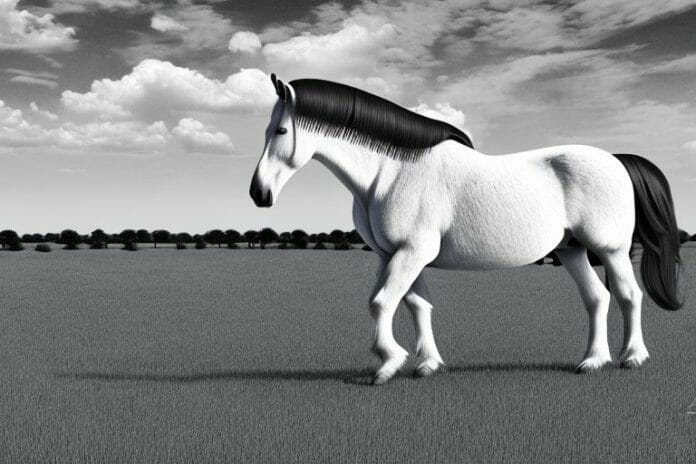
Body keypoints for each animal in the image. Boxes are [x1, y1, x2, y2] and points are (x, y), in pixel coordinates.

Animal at [250, 74, 683, 385]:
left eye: (281, 131)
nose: (259, 193)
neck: (392, 173)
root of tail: (617, 160)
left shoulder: (412, 252)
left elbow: (382, 302)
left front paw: (388, 365)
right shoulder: (395, 255)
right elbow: (415, 304)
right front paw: (427, 365)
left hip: (610, 250)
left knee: (628, 295)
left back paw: (632, 358)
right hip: (572, 250)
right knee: (596, 298)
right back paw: (592, 361)